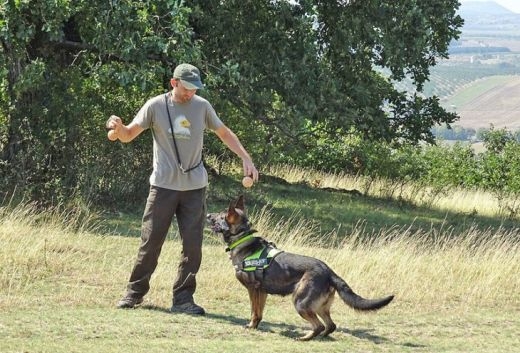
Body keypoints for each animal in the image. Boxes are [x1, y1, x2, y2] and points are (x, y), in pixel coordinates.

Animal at [207, 194, 394, 340]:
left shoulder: (253, 290)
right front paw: (256, 325)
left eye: (220, 215)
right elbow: (259, 312)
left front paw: (251, 326)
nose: (208, 214)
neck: (242, 239)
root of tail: (328, 271)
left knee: (319, 325)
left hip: (300, 302)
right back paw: (319, 337)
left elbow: (254, 312)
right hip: (319, 306)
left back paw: (304, 337)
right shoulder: (263, 292)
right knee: (330, 326)